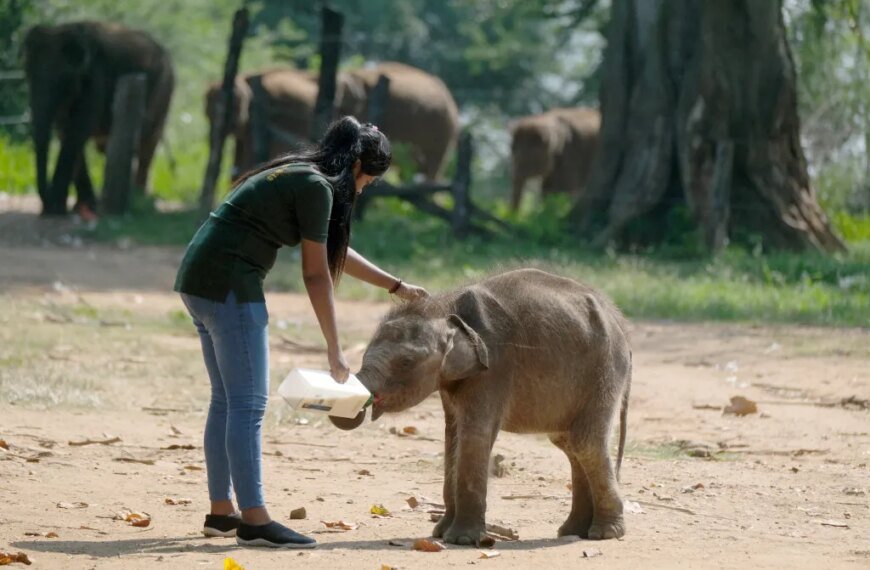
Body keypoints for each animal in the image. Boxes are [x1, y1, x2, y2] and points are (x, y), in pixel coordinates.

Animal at [23, 21, 174, 217]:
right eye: (27, 74)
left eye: (62, 80)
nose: (44, 208)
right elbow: (66, 132)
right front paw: (77, 207)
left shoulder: (95, 78)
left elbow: (78, 131)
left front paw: (57, 209)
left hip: (163, 90)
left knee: (147, 144)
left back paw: (140, 200)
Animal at [332, 268, 632, 546]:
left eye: (405, 362)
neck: (446, 312)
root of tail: (619, 321)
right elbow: (452, 438)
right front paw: (440, 533)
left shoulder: (493, 369)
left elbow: (474, 435)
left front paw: (460, 540)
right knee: (568, 444)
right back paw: (574, 531)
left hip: (602, 373)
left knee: (585, 442)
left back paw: (605, 533)